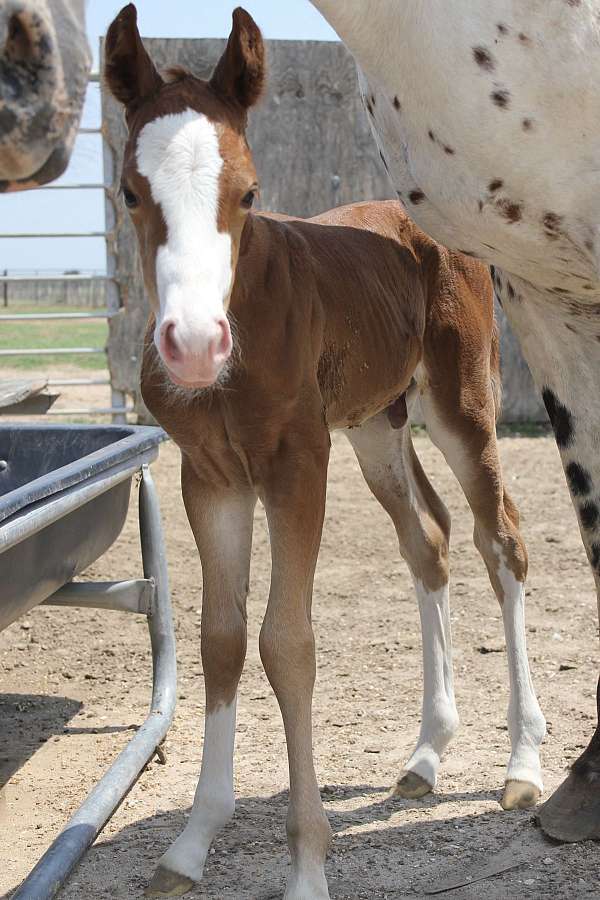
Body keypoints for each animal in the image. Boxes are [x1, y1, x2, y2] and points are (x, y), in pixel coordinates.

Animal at [312, 0, 600, 844]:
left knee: (497, 539)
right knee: (431, 540)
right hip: (378, 431)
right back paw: (427, 754)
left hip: (458, 410)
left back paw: (523, 764)